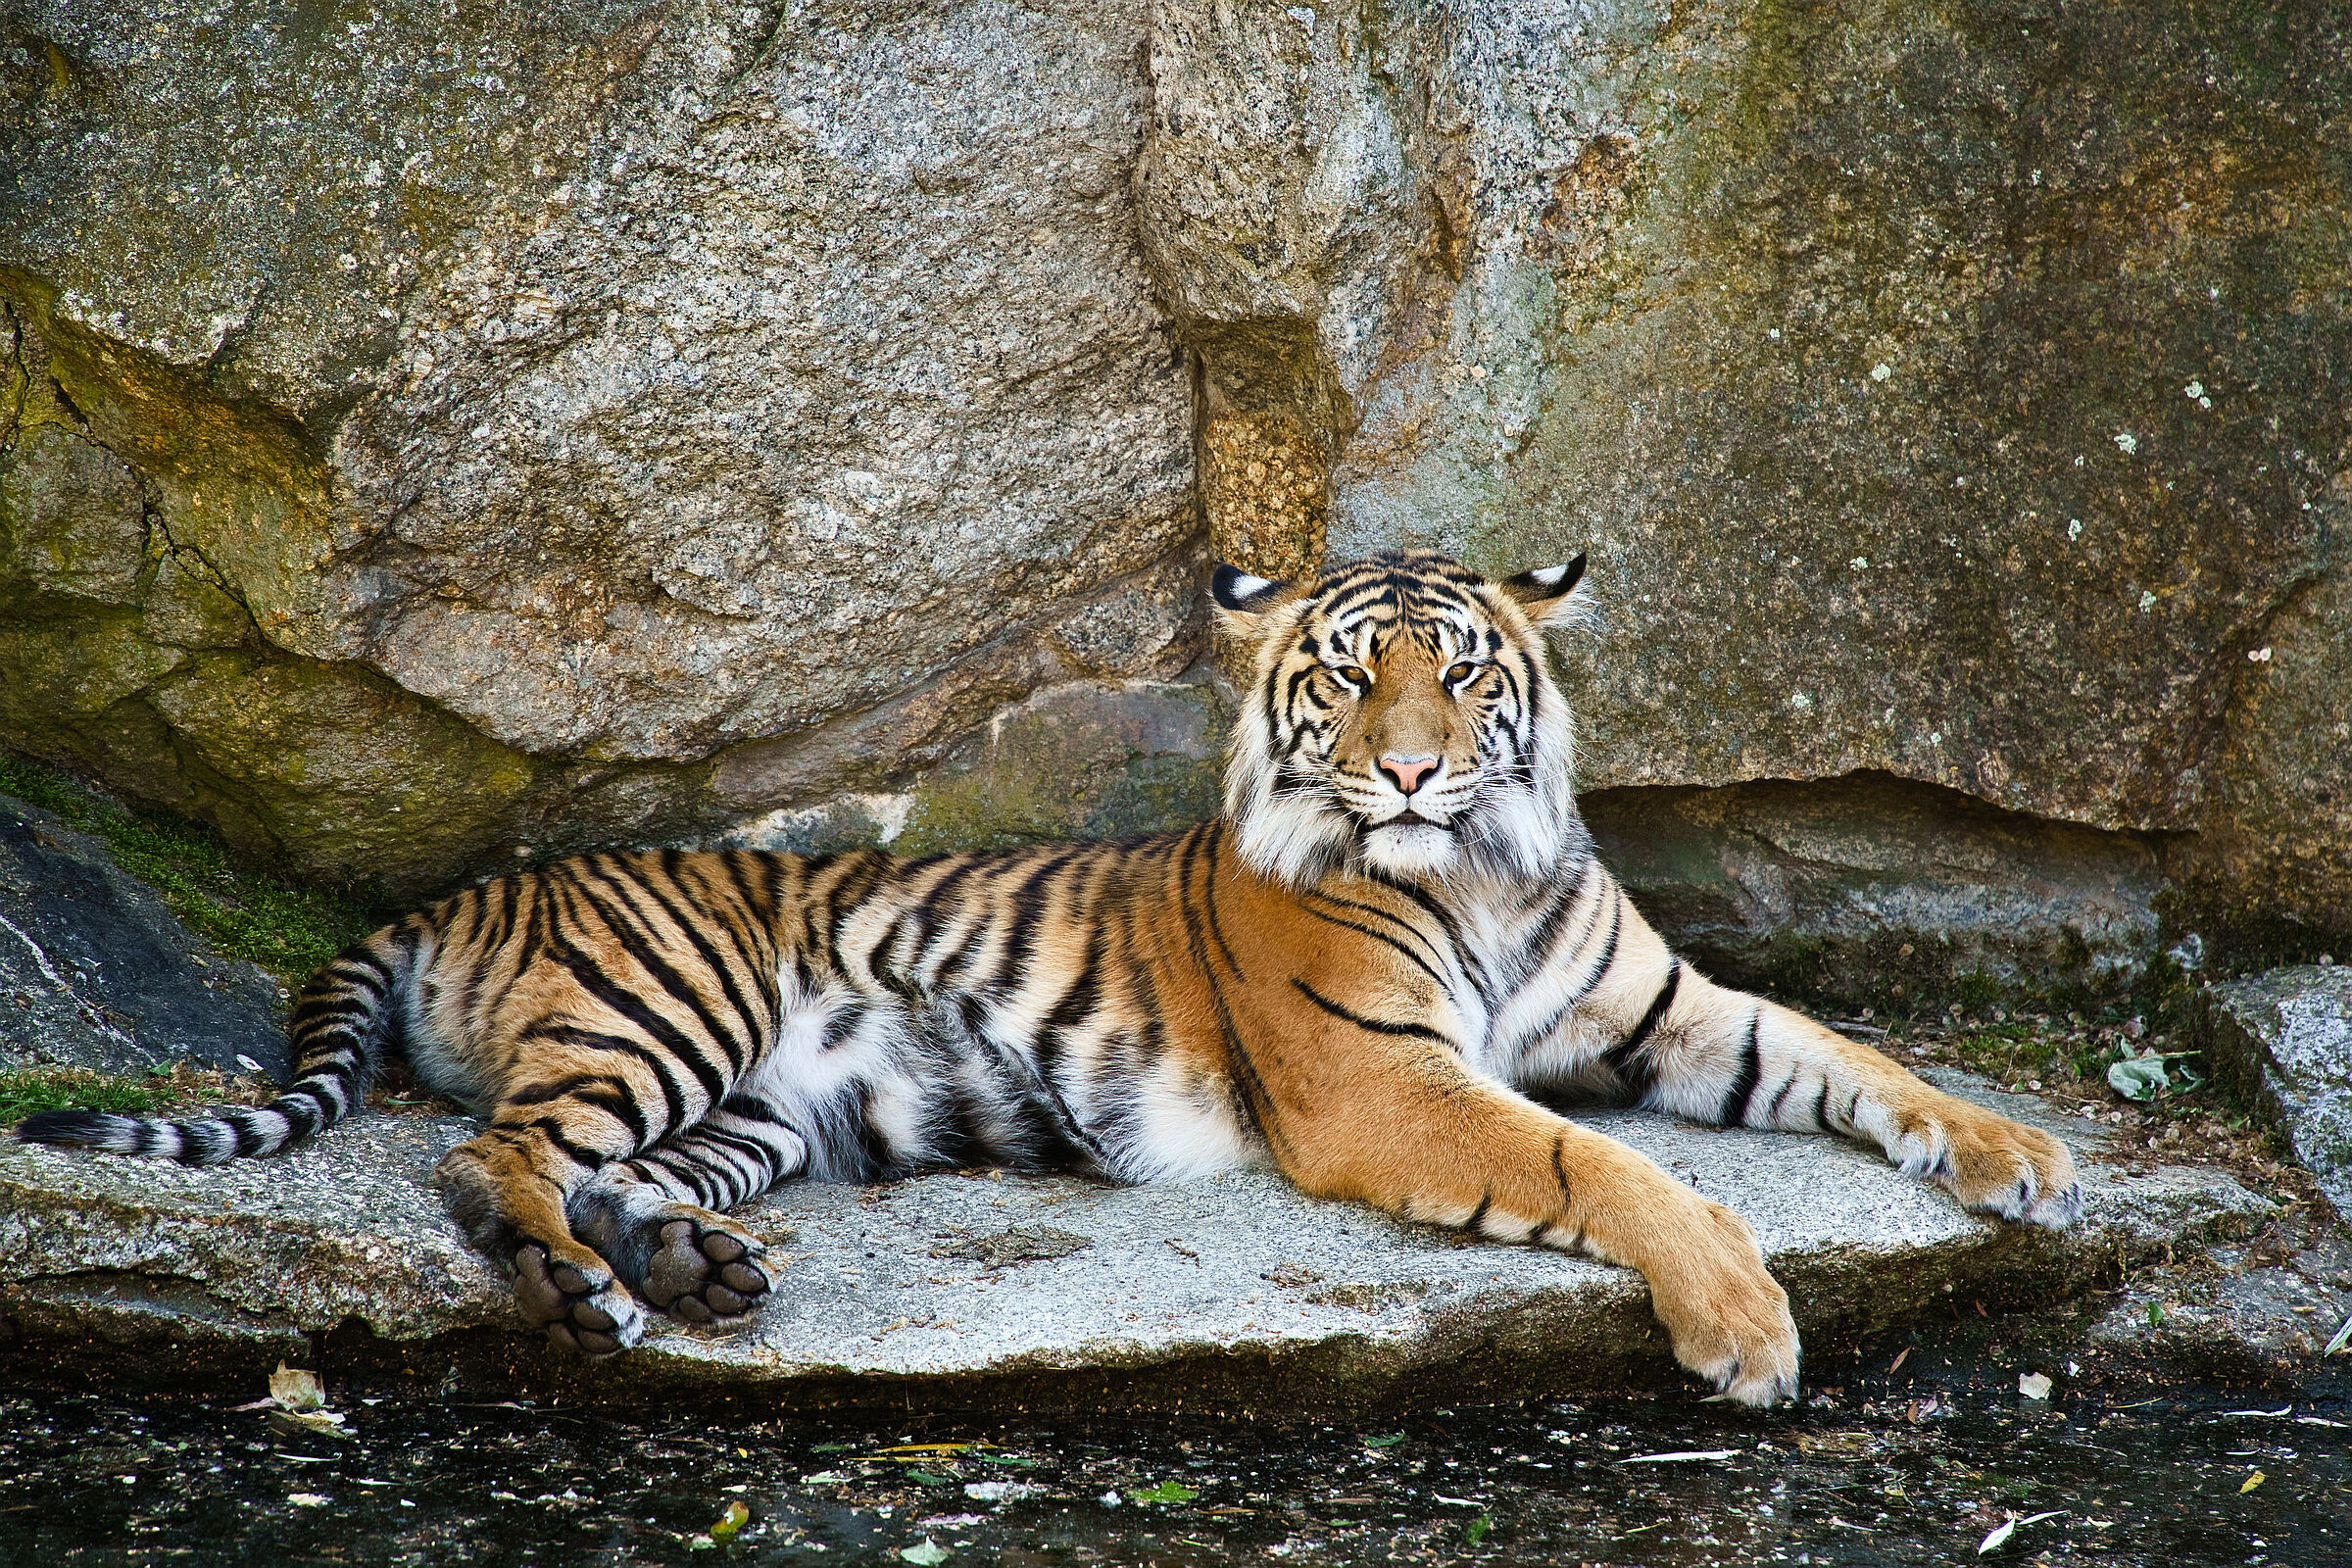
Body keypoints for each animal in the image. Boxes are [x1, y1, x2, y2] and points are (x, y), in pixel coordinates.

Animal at [16, 549, 2080, 1406]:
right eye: (1353, 678)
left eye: (1467, 672)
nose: (1417, 771)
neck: (1481, 872)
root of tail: (462, 893)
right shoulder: (1383, 1083)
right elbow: (1618, 1168)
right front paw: (1745, 1328)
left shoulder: (1670, 1013)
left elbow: (1849, 1049)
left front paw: (2020, 1155)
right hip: (667, 1011)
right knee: (489, 1161)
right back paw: (574, 1293)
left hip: (763, 1115)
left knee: (613, 1178)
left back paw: (689, 1273)